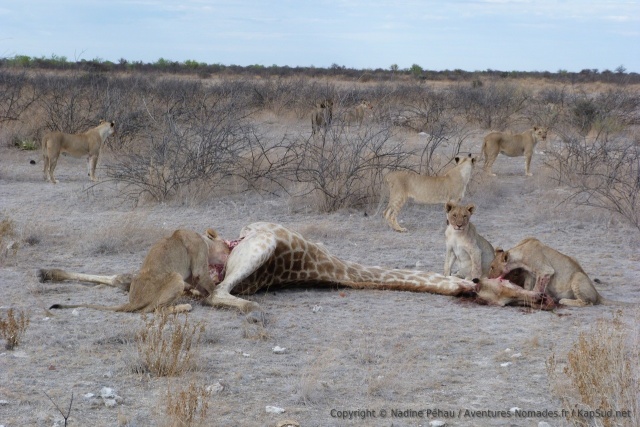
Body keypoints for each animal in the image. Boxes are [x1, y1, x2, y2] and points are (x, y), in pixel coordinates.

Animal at [45, 228, 230, 313]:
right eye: (227, 246)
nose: (230, 253)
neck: (205, 241)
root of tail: (133, 301)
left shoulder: (191, 277)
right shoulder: (199, 266)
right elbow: (207, 282)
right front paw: (214, 294)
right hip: (176, 277)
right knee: (155, 310)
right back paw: (184, 307)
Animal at [487, 237, 634, 307]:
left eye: (492, 267)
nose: (488, 277)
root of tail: (598, 294)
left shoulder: (545, 270)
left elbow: (536, 288)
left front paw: (534, 298)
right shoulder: (530, 273)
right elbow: (529, 286)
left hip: (577, 277)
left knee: (588, 302)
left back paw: (563, 300)